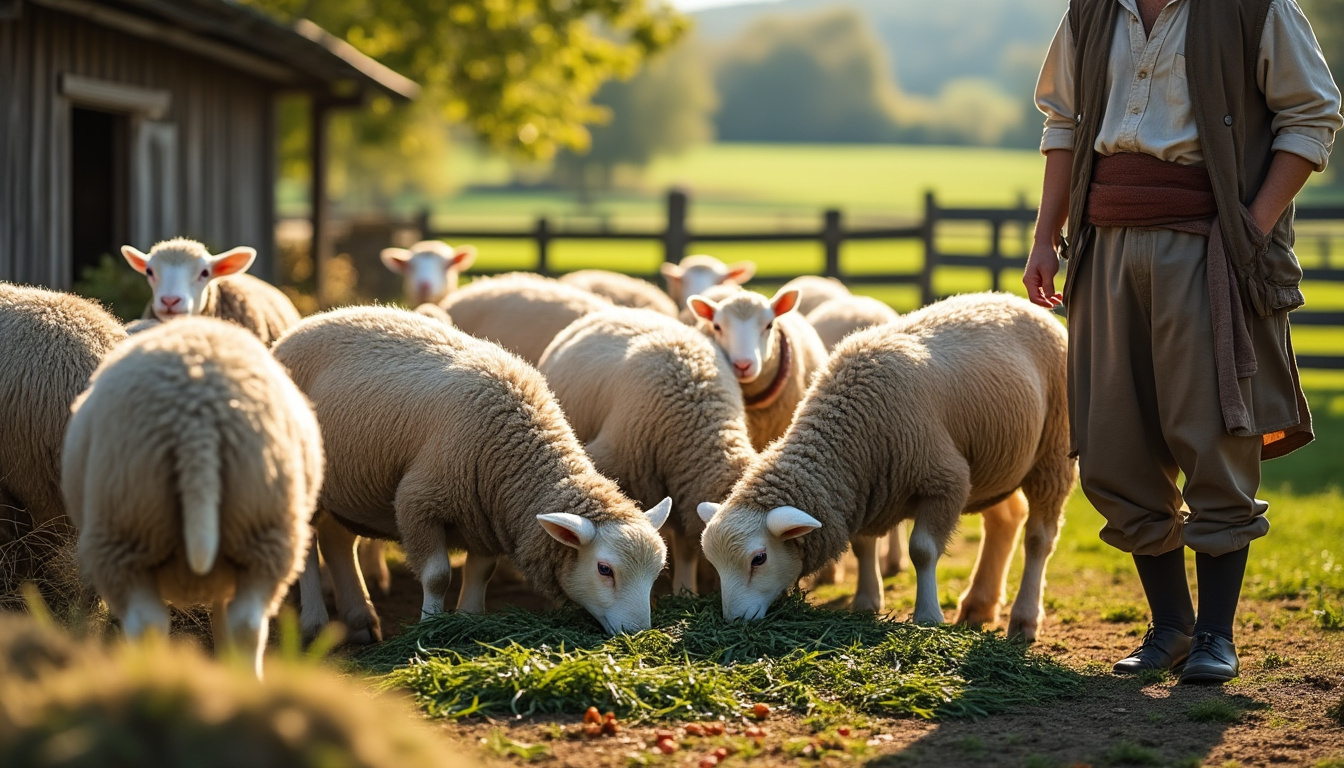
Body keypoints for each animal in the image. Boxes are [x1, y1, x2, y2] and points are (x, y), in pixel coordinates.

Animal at [271, 306, 672, 638]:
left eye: (656, 573)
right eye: (605, 570)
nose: (638, 633)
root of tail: (299, 327)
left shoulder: (485, 516)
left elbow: (481, 572)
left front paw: (469, 621)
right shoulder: (419, 503)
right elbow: (437, 576)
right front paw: (430, 628)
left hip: (347, 489)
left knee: (335, 541)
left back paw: (360, 623)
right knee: (306, 546)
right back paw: (313, 624)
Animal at [698, 292, 1076, 642]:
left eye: (758, 559)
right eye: (714, 563)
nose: (734, 621)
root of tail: (1017, 300)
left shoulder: (945, 480)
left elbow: (922, 551)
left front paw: (927, 616)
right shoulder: (866, 486)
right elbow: (864, 545)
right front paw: (866, 603)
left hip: (1053, 451)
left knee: (1039, 538)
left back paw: (1024, 620)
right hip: (995, 464)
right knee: (1005, 522)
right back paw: (978, 606)